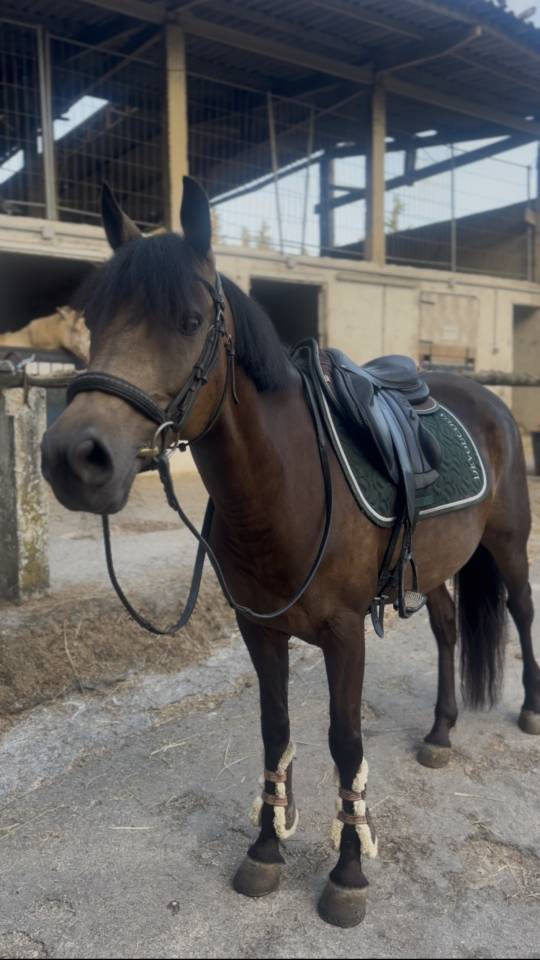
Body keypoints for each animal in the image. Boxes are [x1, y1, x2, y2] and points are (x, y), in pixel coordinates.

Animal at [41, 177, 540, 928]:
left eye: (190, 320)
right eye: (93, 322)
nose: (74, 458)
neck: (286, 488)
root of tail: (489, 398)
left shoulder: (344, 633)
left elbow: (345, 740)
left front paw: (349, 870)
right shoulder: (260, 629)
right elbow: (275, 731)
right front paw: (267, 846)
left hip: (508, 546)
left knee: (522, 614)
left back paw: (531, 710)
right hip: (435, 566)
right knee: (450, 630)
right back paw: (441, 732)